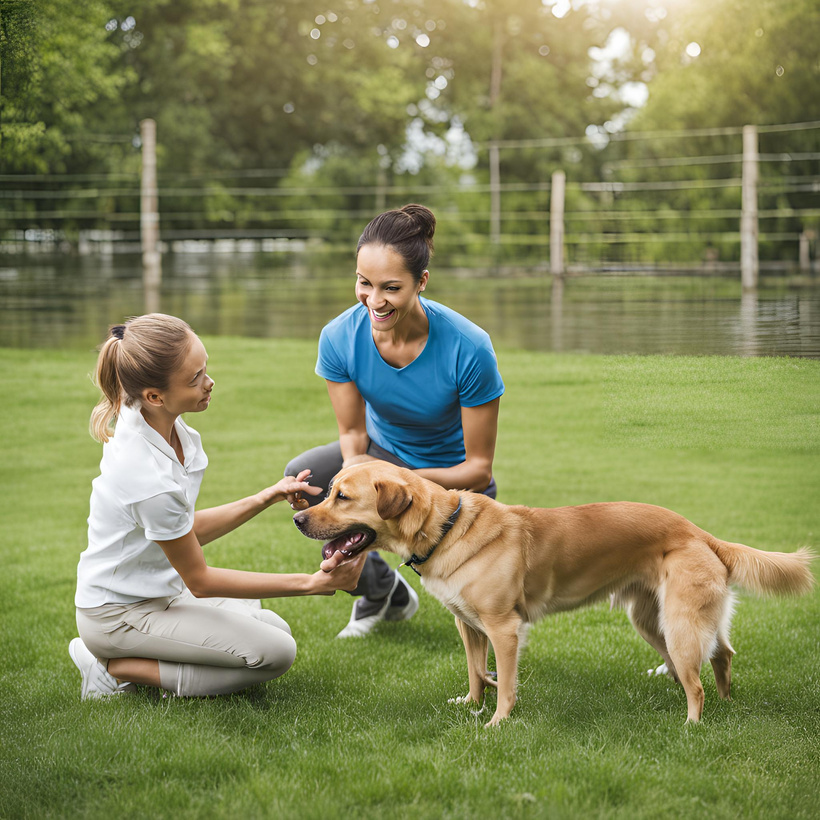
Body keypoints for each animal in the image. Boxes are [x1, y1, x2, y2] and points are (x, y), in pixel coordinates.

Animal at [294, 462, 812, 724]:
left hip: (679, 627)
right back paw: (726, 704)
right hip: (656, 622)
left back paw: (692, 725)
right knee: (722, 654)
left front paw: (497, 723)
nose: (297, 517)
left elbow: (504, 685)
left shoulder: (504, 629)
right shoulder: (469, 626)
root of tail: (699, 531)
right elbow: (477, 673)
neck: (445, 529)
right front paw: (473, 705)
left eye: (342, 496)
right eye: (329, 491)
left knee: (697, 682)